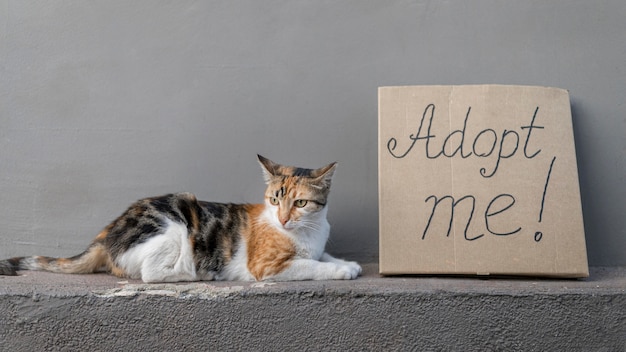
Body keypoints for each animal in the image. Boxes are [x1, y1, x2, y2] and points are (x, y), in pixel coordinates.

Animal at [0, 155, 360, 282]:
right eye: (274, 199)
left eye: (300, 202)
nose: (284, 219)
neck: (308, 231)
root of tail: (105, 233)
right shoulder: (266, 266)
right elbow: (309, 265)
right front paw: (340, 270)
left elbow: (320, 255)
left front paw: (346, 261)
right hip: (174, 226)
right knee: (150, 274)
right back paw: (197, 273)